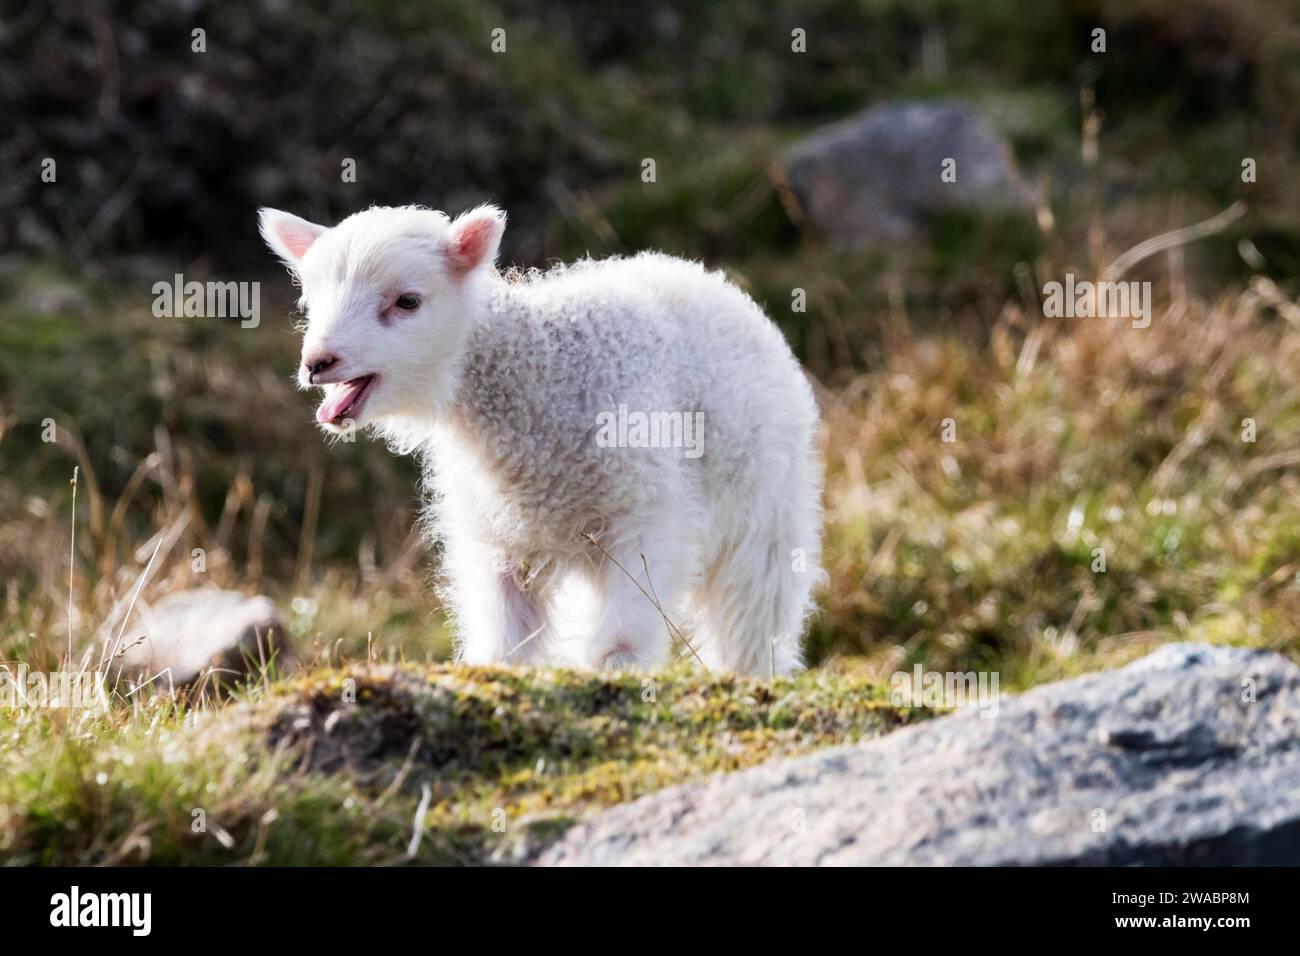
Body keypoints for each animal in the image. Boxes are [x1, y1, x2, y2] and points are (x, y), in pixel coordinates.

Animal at [258, 204, 821, 671]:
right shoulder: (496, 537)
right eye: (310, 302)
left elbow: (622, 637)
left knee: (755, 618)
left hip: (767, 515)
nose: (318, 363)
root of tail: (709, 278)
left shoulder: (645, 512)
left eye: (407, 301)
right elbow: (504, 641)